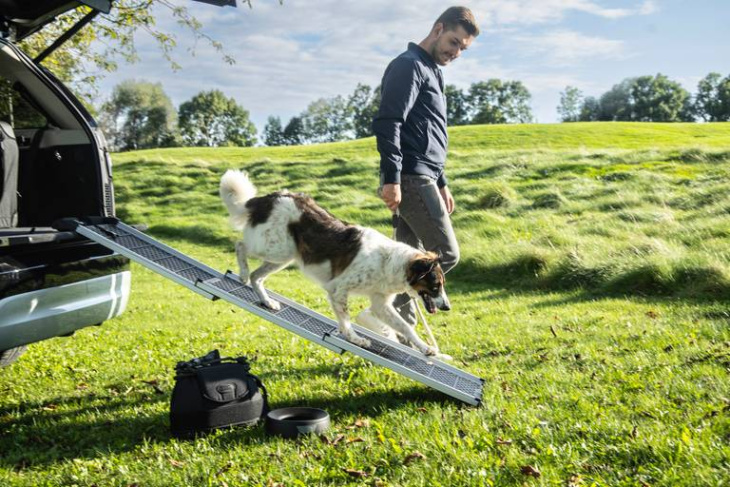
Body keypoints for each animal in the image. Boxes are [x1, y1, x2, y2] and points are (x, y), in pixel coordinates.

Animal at [219, 170, 450, 356]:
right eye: (436, 285)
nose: (447, 307)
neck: (390, 262)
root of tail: (270, 197)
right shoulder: (338, 290)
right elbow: (346, 321)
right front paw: (355, 339)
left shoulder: (380, 304)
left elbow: (406, 328)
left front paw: (425, 348)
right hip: (277, 250)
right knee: (241, 246)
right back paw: (242, 272)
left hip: (283, 256)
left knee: (257, 277)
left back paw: (266, 301)